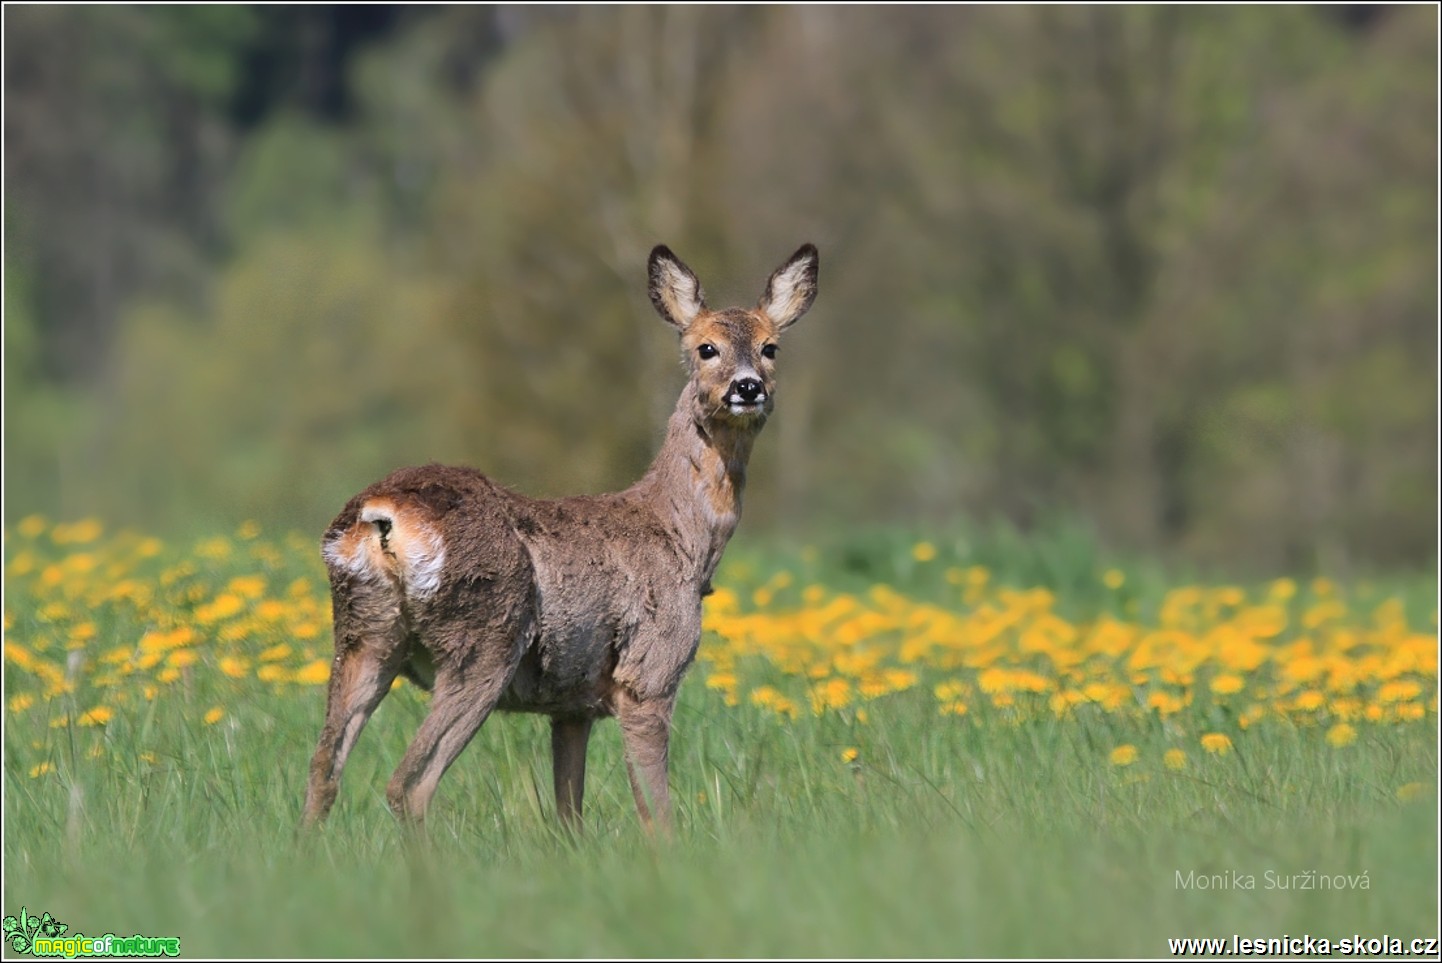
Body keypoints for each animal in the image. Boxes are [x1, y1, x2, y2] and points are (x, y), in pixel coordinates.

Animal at [301, 239, 824, 830]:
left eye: (770, 347)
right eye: (705, 348)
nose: (747, 387)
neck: (682, 538)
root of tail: (381, 514)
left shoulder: (572, 705)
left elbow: (568, 813)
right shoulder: (649, 673)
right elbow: (655, 812)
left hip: (363, 634)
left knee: (323, 770)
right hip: (484, 640)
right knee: (409, 782)